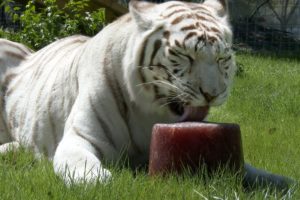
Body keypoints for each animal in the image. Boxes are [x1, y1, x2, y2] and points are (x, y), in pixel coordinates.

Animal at [0, 0, 292, 188]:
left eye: (222, 58)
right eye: (185, 56)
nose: (212, 93)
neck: (149, 112)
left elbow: (252, 171)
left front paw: (282, 181)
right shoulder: (81, 138)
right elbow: (80, 165)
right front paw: (98, 181)